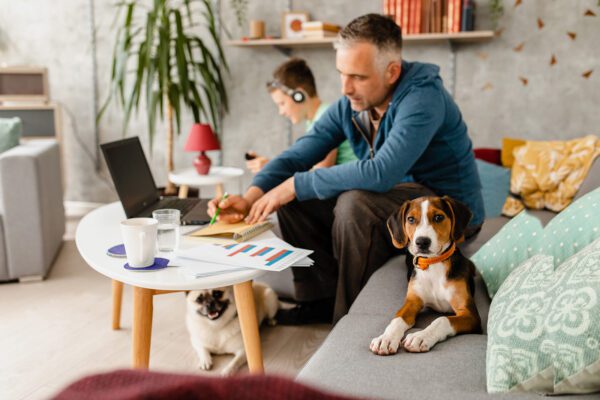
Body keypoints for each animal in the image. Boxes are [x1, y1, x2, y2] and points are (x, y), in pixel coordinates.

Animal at [370, 195, 482, 354]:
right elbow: (397, 318)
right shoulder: (412, 301)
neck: (433, 263)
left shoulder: (470, 314)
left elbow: (442, 320)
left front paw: (420, 337)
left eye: (438, 217)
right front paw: (386, 338)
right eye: (411, 219)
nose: (422, 242)